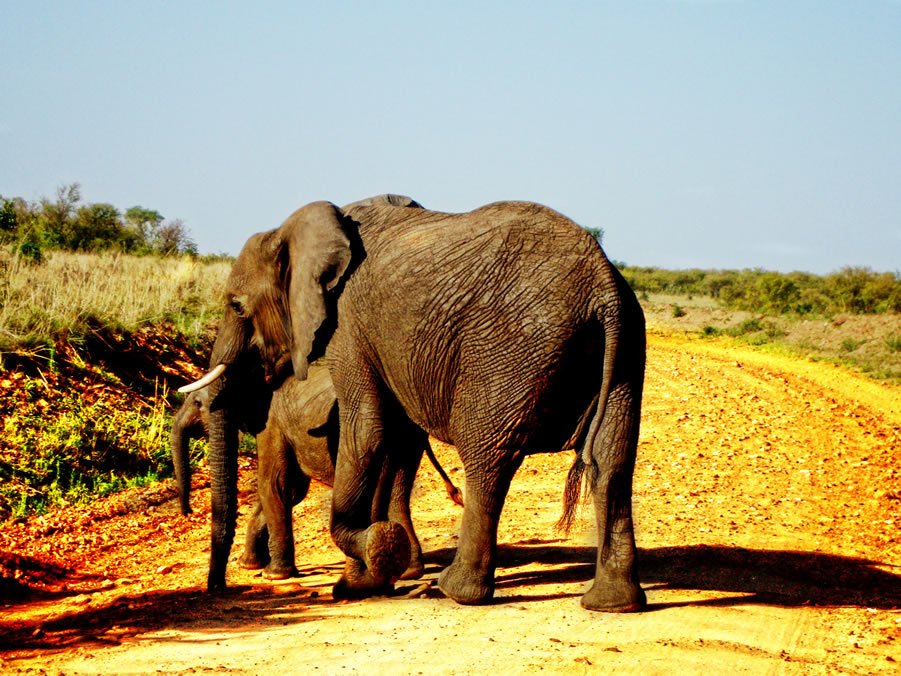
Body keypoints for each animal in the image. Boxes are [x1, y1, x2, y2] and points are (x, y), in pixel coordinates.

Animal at [171, 358, 463, 580]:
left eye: (197, 403)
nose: (187, 512)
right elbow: (291, 491)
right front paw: (250, 565)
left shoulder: (272, 422)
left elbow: (273, 485)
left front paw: (273, 575)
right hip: (407, 437)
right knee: (398, 492)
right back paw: (409, 571)